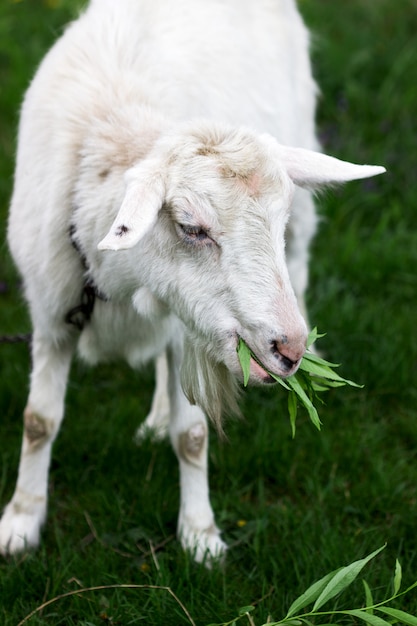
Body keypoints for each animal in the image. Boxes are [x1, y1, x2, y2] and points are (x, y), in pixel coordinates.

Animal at [0, 0, 384, 560]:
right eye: (191, 227)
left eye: (278, 222)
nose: (289, 349)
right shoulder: (53, 315)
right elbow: (38, 422)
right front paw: (22, 521)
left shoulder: (188, 330)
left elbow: (194, 435)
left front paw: (200, 537)